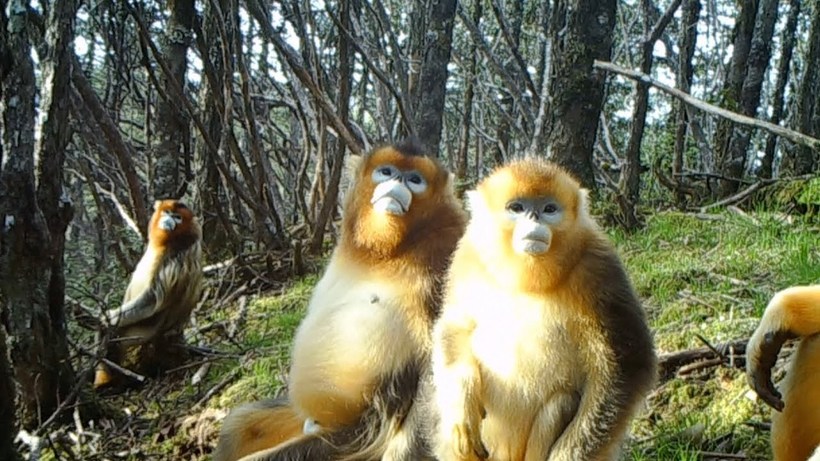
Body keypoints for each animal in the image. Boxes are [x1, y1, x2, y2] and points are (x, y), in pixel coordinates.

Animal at [93, 199, 204, 390]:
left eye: (178, 217)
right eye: (167, 212)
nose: (169, 220)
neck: (170, 241)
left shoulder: (176, 258)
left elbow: (152, 299)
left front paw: (106, 318)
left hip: (141, 333)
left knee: (113, 334)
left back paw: (107, 382)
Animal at [211, 139, 468, 460]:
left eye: (414, 180)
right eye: (387, 172)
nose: (398, 182)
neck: (390, 250)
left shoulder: (448, 253)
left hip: (350, 437)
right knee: (238, 424)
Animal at [426, 157, 656, 460]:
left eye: (549, 209)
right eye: (517, 208)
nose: (534, 220)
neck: (526, 279)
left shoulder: (598, 264)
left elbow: (629, 365)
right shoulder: (469, 254)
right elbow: (456, 326)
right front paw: (461, 413)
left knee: (561, 402)